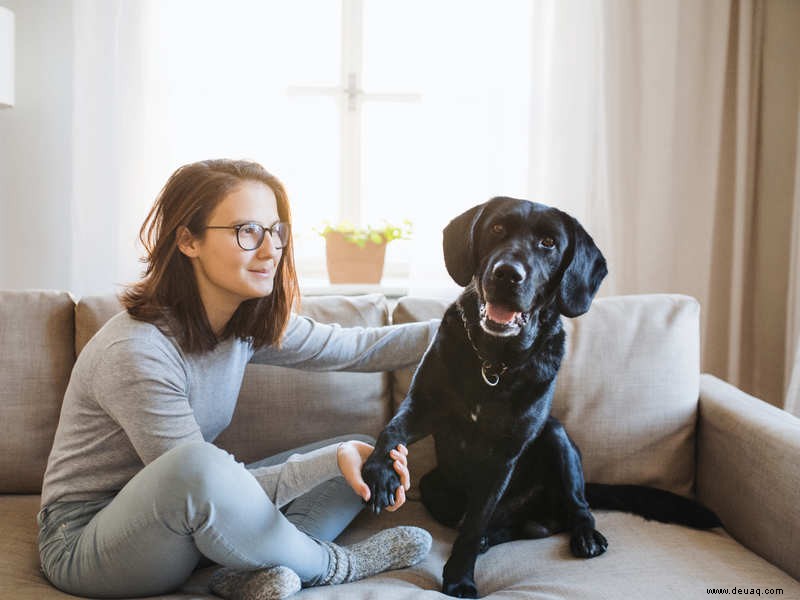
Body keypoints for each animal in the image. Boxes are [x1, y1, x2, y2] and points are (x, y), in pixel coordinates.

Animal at [362, 197, 720, 596]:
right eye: (497, 229)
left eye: (548, 243)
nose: (507, 274)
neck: (495, 361)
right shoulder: (423, 407)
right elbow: (392, 430)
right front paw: (380, 472)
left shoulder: (503, 455)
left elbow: (474, 523)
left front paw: (459, 579)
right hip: (435, 486)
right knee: (522, 525)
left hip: (557, 438)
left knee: (574, 508)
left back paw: (584, 534)